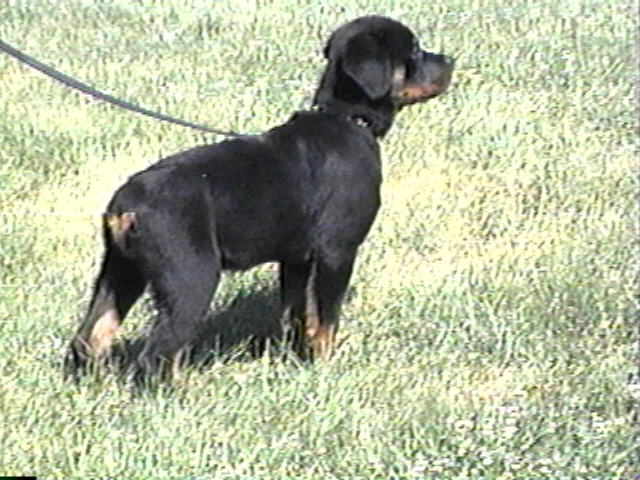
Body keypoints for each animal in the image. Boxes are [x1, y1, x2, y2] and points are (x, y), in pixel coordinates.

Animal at [64, 15, 454, 384]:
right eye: (414, 51)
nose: (450, 60)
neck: (347, 119)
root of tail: (125, 204)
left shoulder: (295, 259)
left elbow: (298, 316)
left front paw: (298, 360)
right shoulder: (337, 251)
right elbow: (326, 319)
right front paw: (326, 366)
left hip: (121, 270)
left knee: (90, 337)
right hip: (191, 276)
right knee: (159, 353)